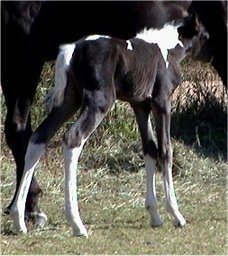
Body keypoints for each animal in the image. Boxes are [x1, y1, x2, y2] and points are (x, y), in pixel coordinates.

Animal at [0, 1, 227, 226]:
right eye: (205, 35)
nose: (212, 53)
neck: (165, 49)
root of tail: (72, 49)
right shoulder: (161, 102)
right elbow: (165, 150)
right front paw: (176, 215)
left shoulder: (140, 105)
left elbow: (149, 148)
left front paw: (155, 215)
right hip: (95, 99)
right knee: (72, 139)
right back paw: (74, 222)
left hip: (69, 100)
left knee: (37, 136)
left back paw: (21, 215)